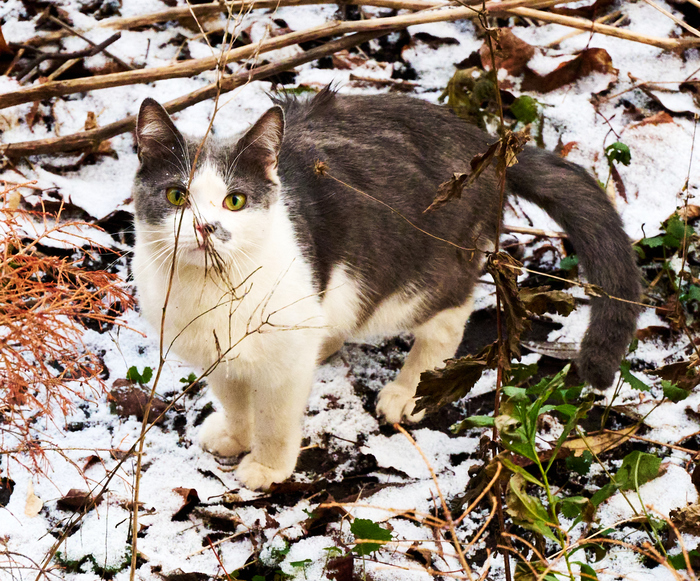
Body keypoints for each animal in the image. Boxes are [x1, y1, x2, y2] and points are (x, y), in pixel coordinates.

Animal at [131, 87, 640, 490]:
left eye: (234, 200)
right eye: (176, 196)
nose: (204, 227)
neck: (213, 290)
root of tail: (483, 142)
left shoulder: (283, 357)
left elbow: (275, 418)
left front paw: (267, 467)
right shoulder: (216, 353)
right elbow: (234, 399)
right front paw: (235, 437)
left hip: (420, 273)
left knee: (449, 316)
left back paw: (407, 392)